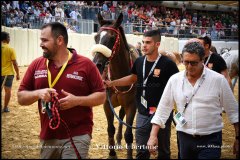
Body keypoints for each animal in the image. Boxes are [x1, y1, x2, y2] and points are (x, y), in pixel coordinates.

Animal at [90, 12, 139, 159]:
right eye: (96, 37)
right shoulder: (107, 104)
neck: (120, 77)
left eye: (112, 38)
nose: (97, 64)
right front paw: (112, 153)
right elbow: (110, 129)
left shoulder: (131, 105)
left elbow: (129, 134)